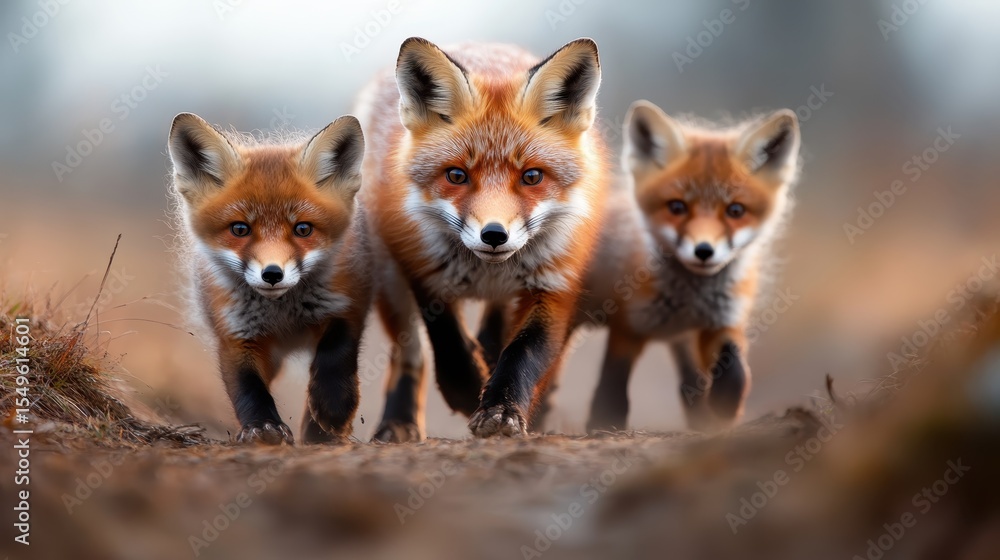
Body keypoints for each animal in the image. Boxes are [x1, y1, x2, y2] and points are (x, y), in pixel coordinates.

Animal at [167, 112, 371, 445]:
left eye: (303, 229)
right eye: (240, 229)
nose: (273, 273)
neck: (283, 314)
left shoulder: (347, 305)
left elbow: (335, 355)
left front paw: (333, 409)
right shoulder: (236, 336)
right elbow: (248, 388)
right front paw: (262, 427)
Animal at [356, 37, 610, 441]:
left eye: (532, 176)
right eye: (456, 175)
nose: (493, 235)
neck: (487, 272)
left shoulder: (555, 281)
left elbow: (524, 352)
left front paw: (502, 409)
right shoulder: (424, 272)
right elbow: (448, 346)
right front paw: (466, 390)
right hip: (389, 280)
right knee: (410, 354)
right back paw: (398, 421)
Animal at [557, 100, 802, 432]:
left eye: (735, 211)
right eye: (677, 207)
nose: (704, 251)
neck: (687, 300)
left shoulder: (721, 321)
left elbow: (735, 365)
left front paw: (726, 405)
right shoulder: (628, 327)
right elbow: (613, 385)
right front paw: (603, 424)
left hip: (682, 342)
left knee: (689, 386)